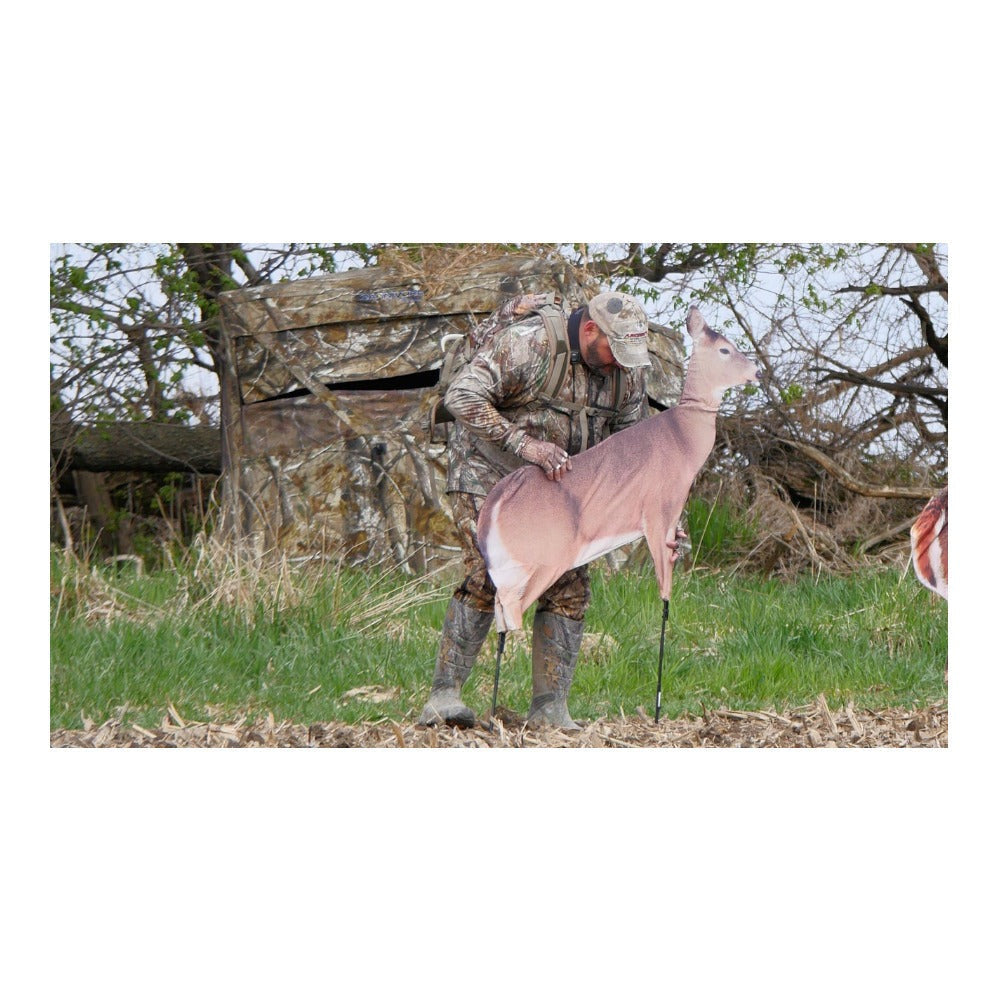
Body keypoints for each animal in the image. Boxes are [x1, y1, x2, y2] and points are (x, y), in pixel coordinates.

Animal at [476, 306, 762, 722]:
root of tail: (493, 506)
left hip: (517, 562)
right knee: (508, 609)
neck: (684, 440)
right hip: (546, 554)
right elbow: (664, 591)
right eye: (725, 349)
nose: (756, 372)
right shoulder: (658, 509)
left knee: (499, 606)